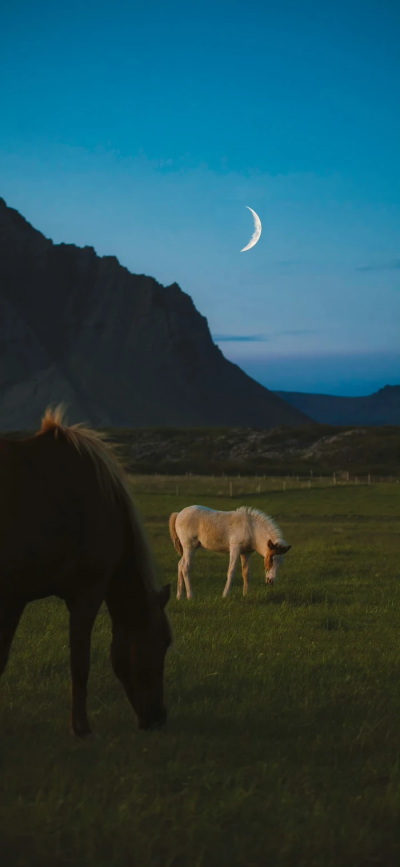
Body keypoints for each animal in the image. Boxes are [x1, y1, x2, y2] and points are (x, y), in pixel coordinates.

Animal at [0, 410, 172, 736]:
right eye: (163, 641)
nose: (158, 717)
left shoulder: (14, 598)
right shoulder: (86, 594)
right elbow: (80, 662)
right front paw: (80, 727)